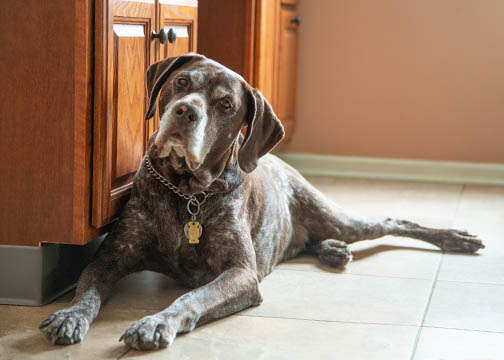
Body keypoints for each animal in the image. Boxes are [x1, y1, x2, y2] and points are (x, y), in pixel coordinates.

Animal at [39, 54, 484, 352]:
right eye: (182, 82)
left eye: (226, 105)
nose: (185, 112)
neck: (187, 193)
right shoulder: (111, 256)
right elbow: (88, 290)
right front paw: (70, 316)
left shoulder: (240, 274)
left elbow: (189, 298)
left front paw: (154, 323)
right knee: (314, 241)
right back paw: (333, 251)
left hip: (337, 216)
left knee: (394, 221)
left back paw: (457, 238)